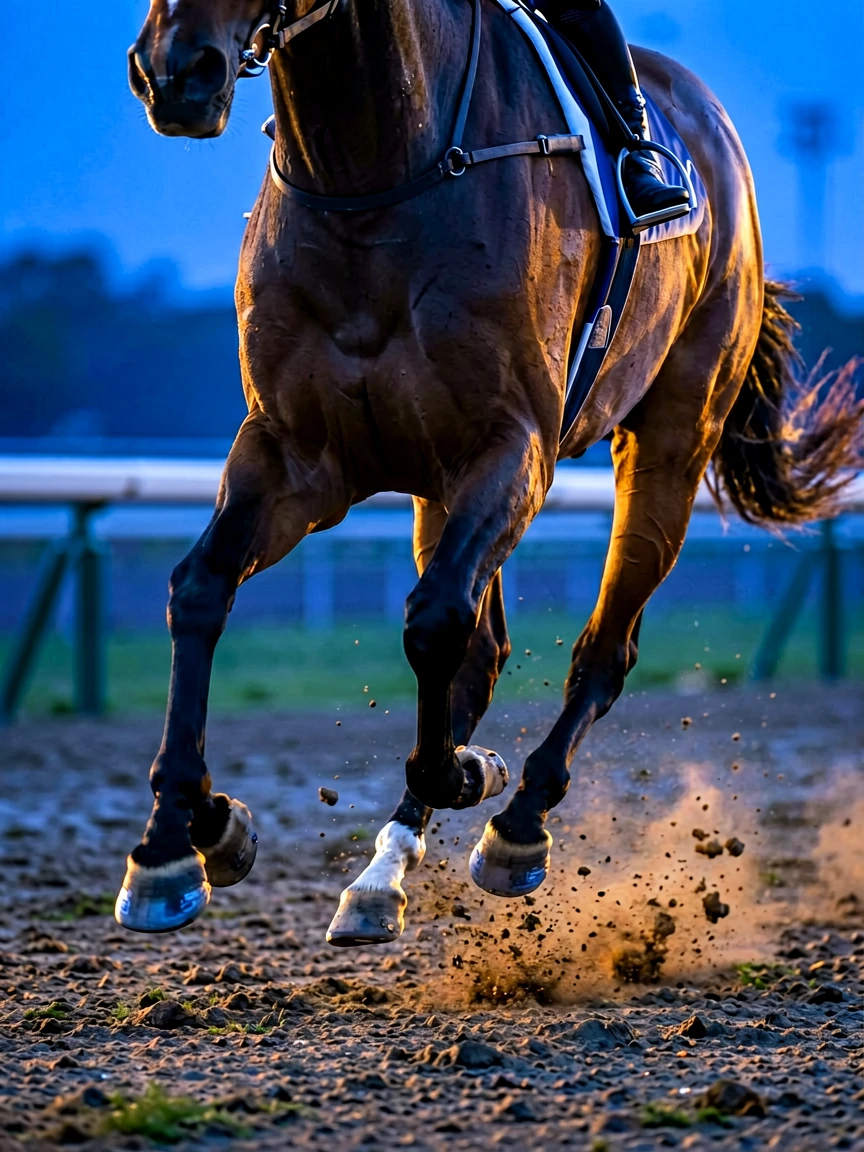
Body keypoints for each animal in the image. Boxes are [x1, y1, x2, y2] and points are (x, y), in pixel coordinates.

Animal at [118, 0, 861, 943]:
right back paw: (380, 875)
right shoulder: (292, 454)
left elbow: (436, 626)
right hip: (438, 485)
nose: (176, 72)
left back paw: (516, 823)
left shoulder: (513, 448)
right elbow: (200, 589)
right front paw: (184, 835)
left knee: (602, 650)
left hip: (669, 442)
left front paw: (467, 773)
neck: (374, 178)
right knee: (484, 647)